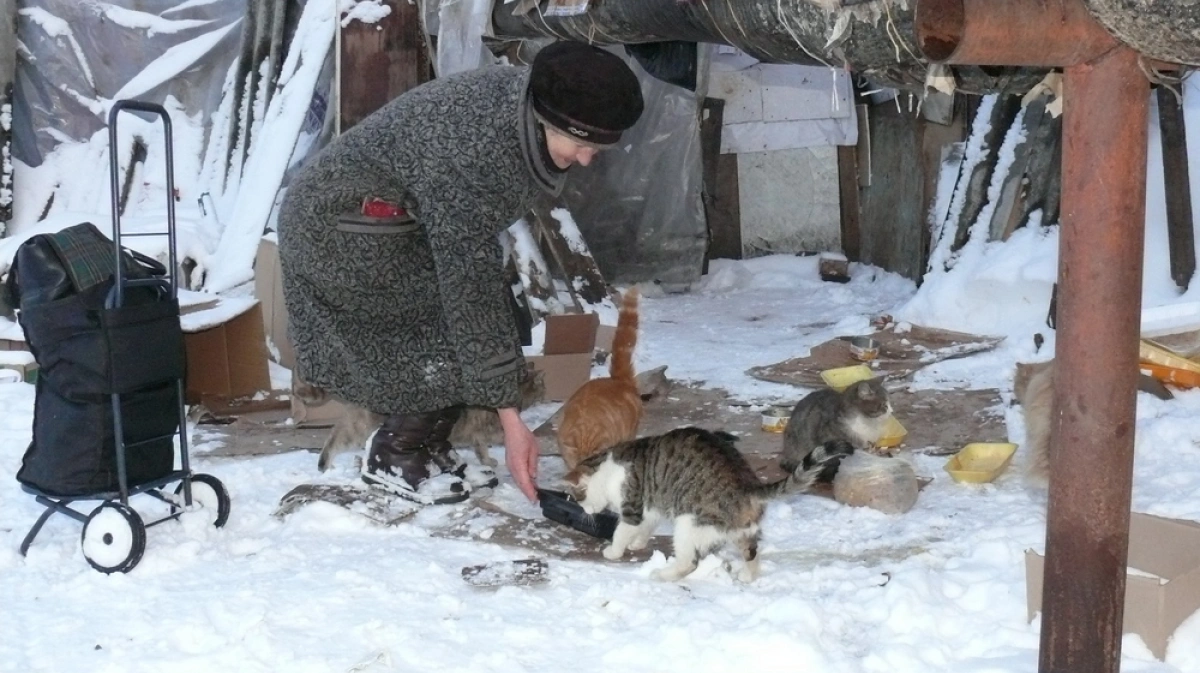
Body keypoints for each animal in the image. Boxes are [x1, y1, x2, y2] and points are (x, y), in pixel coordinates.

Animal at [564, 427, 854, 580]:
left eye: (577, 497)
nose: (584, 511)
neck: (607, 469)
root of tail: (748, 484)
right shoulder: (650, 507)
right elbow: (644, 527)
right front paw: (637, 543)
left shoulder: (633, 506)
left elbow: (622, 531)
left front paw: (614, 551)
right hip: (742, 529)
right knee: (751, 552)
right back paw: (747, 576)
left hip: (687, 523)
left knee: (689, 563)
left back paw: (663, 574)